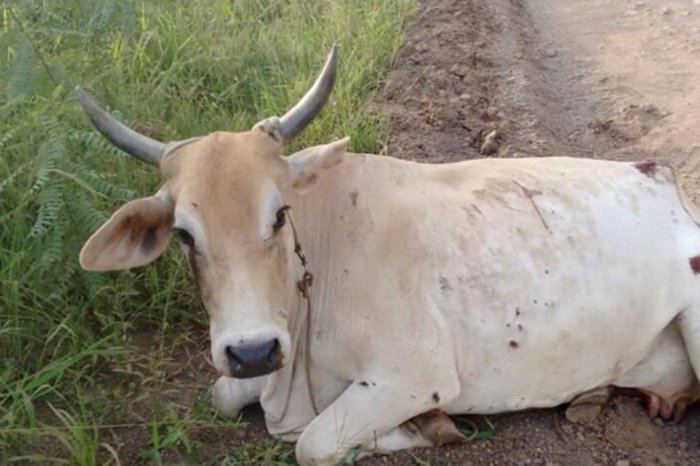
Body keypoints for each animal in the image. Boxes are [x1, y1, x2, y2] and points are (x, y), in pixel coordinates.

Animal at [76, 44, 700, 466]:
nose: (253, 352)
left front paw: (430, 428)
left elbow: (312, 442)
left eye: (279, 214)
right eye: (184, 234)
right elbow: (221, 394)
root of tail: (660, 175)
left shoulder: (413, 376)